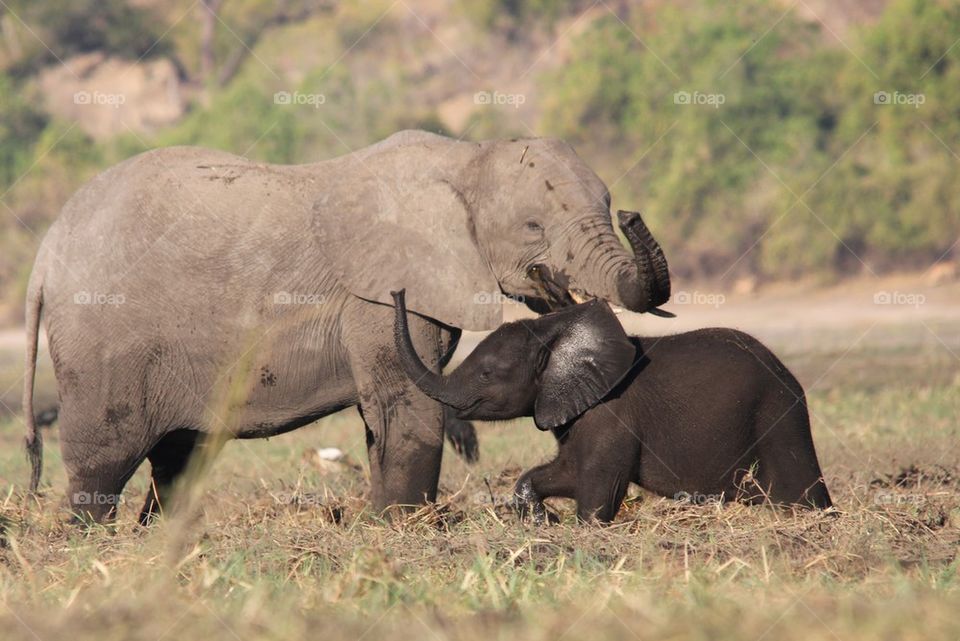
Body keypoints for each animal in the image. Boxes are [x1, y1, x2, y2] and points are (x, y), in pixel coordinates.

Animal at [22, 130, 670, 523]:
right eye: (533, 226)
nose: (632, 213)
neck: (464, 159)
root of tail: (45, 253)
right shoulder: (380, 292)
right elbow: (407, 406)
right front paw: (408, 529)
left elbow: (384, 415)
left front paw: (385, 525)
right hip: (104, 343)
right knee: (104, 458)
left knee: (178, 459)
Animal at [391, 220, 831, 523]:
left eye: (486, 373)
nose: (398, 290)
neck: (555, 329)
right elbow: (561, 472)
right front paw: (543, 521)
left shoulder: (613, 413)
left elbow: (597, 489)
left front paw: (578, 528)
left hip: (777, 416)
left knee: (800, 488)